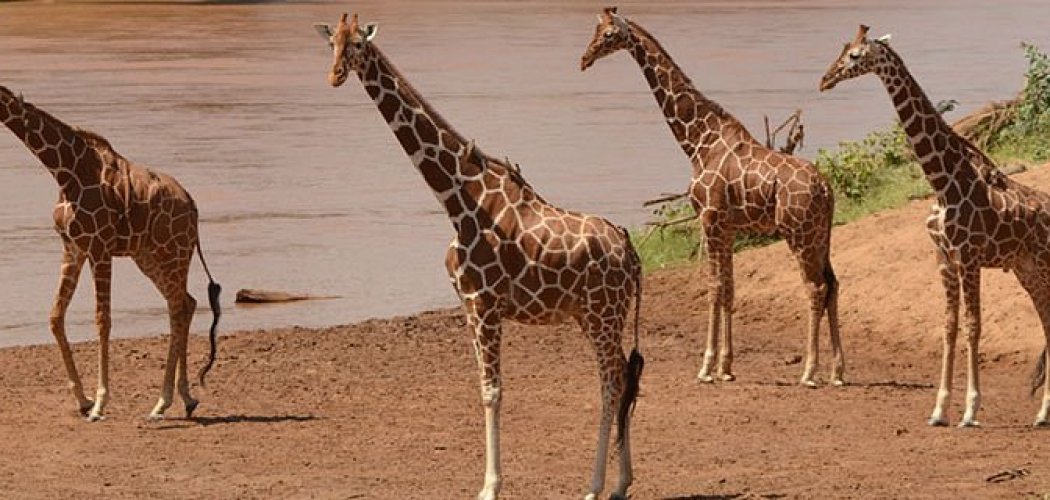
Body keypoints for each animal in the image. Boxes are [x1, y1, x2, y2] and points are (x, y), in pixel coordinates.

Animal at [0, 85, 222, 422]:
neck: (65, 169)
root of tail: (193, 207)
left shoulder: (99, 248)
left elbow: (102, 320)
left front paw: (100, 403)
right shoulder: (73, 248)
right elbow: (55, 316)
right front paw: (83, 400)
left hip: (173, 253)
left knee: (178, 307)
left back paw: (163, 402)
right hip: (150, 256)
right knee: (186, 303)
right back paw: (184, 399)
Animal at [314, 13, 644, 500]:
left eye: (357, 43)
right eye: (331, 44)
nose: (334, 76)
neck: (458, 201)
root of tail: (631, 250)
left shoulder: (485, 304)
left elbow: (493, 391)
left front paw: (489, 487)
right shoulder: (469, 305)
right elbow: (483, 388)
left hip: (604, 313)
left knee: (612, 382)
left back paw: (597, 485)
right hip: (592, 314)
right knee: (622, 377)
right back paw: (620, 482)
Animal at [580, 7, 844, 387]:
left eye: (607, 35)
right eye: (596, 30)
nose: (584, 59)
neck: (698, 141)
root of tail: (825, 188)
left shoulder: (709, 218)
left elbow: (714, 287)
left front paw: (706, 367)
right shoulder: (728, 227)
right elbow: (729, 288)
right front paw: (726, 366)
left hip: (799, 233)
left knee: (815, 288)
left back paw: (809, 371)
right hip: (822, 234)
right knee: (833, 284)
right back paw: (837, 371)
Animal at [820, 25, 1050, 427]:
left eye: (854, 56)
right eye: (843, 50)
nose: (824, 80)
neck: (943, 183)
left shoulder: (969, 257)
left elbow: (973, 326)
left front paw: (971, 410)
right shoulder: (943, 257)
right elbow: (949, 326)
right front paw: (939, 409)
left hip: (1043, 264)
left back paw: (1044, 410)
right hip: (1027, 268)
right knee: (1047, 321)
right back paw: (1041, 413)